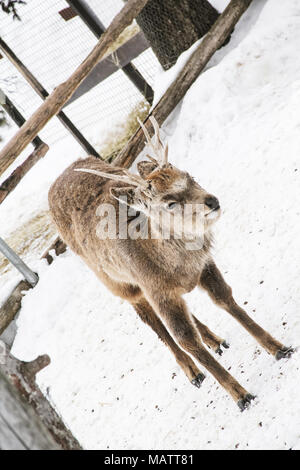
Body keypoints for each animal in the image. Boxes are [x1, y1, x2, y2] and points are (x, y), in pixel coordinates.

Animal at [48, 117, 292, 412]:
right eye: (170, 203)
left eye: (189, 176)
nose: (212, 201)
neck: (172, 265)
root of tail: (54, 184)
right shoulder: (152, 287)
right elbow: (184, 338)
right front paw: (241, 395)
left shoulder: (203, 266)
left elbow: (226, 299)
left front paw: (279, 348)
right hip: (118, 283)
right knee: (152, 321)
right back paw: (193, 371)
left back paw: (215, 340)